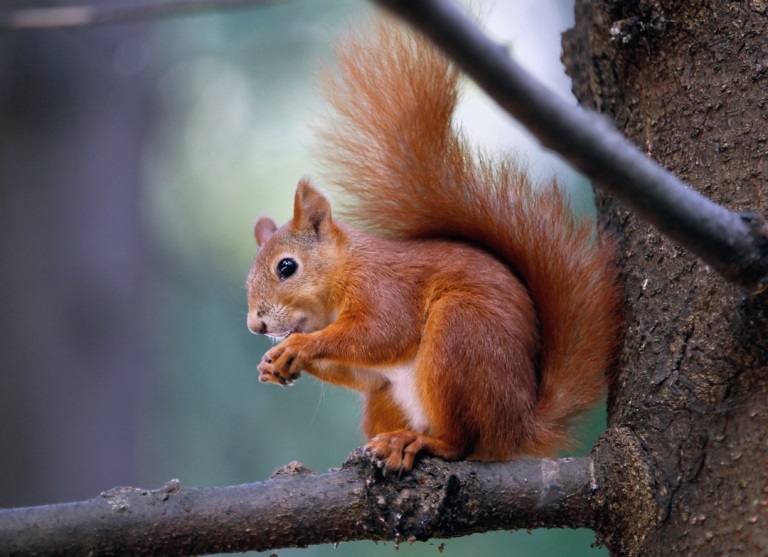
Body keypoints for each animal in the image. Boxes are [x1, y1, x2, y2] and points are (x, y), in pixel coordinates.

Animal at [246, 17, 623, 473]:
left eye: (287, 267)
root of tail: (517, 428)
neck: (344, 272)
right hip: (389, 398)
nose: (256, 325)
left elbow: (382, 333)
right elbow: (366, 371)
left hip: (459, 337)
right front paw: (276, 364)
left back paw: (417, 442)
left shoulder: (384, 288)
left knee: (460, 442)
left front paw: (298, 346)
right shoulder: (374, 371)